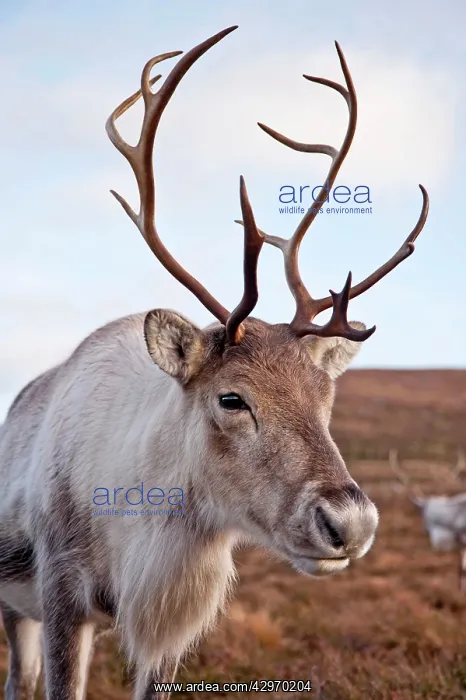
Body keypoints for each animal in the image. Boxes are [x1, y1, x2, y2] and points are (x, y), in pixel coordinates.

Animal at [0, 25, 429, 700]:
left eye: (326, 397)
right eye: (232, 398)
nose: (353, 524)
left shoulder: (168, 628)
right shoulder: (62, 595)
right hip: (17, 606)